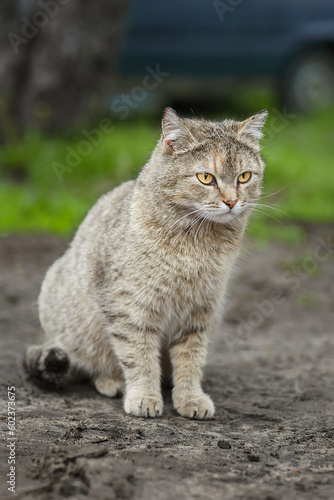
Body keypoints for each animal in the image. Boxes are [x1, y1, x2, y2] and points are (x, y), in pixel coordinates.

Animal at [24, 108, 268, 418]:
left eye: (244, 177)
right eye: (205, 178)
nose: (232, 202)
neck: (198, 242)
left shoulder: (200, 310)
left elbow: (191, 359)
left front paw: (190, 397)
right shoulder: (131, 308)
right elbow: (138, 356)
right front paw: (144, 396)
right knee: (89, 365)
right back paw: (112, 381)